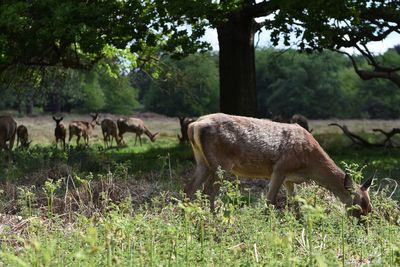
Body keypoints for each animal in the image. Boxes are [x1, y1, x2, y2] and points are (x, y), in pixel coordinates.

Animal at [186, 114, 374, 219]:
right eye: (358, 206)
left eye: (370, 208)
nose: (363, 227)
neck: (309, 165)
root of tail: (194, 125)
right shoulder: (280, 168)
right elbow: (270, 200)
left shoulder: (290, 179)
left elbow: (297, 204)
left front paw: (300, 223)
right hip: (220, 164)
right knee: (207, 192)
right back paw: (213, 219)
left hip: (202, 162)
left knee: (190, 188)